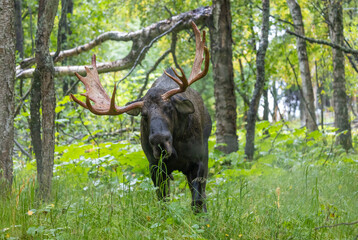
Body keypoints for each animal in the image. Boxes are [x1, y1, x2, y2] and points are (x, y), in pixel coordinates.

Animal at [71, 21, 211, 212]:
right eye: (144, 115)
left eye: (169, 108)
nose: (159, 140)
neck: (176, 150)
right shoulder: (155, 166)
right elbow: (163, 200)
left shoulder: (198, 161)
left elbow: (197, 199)